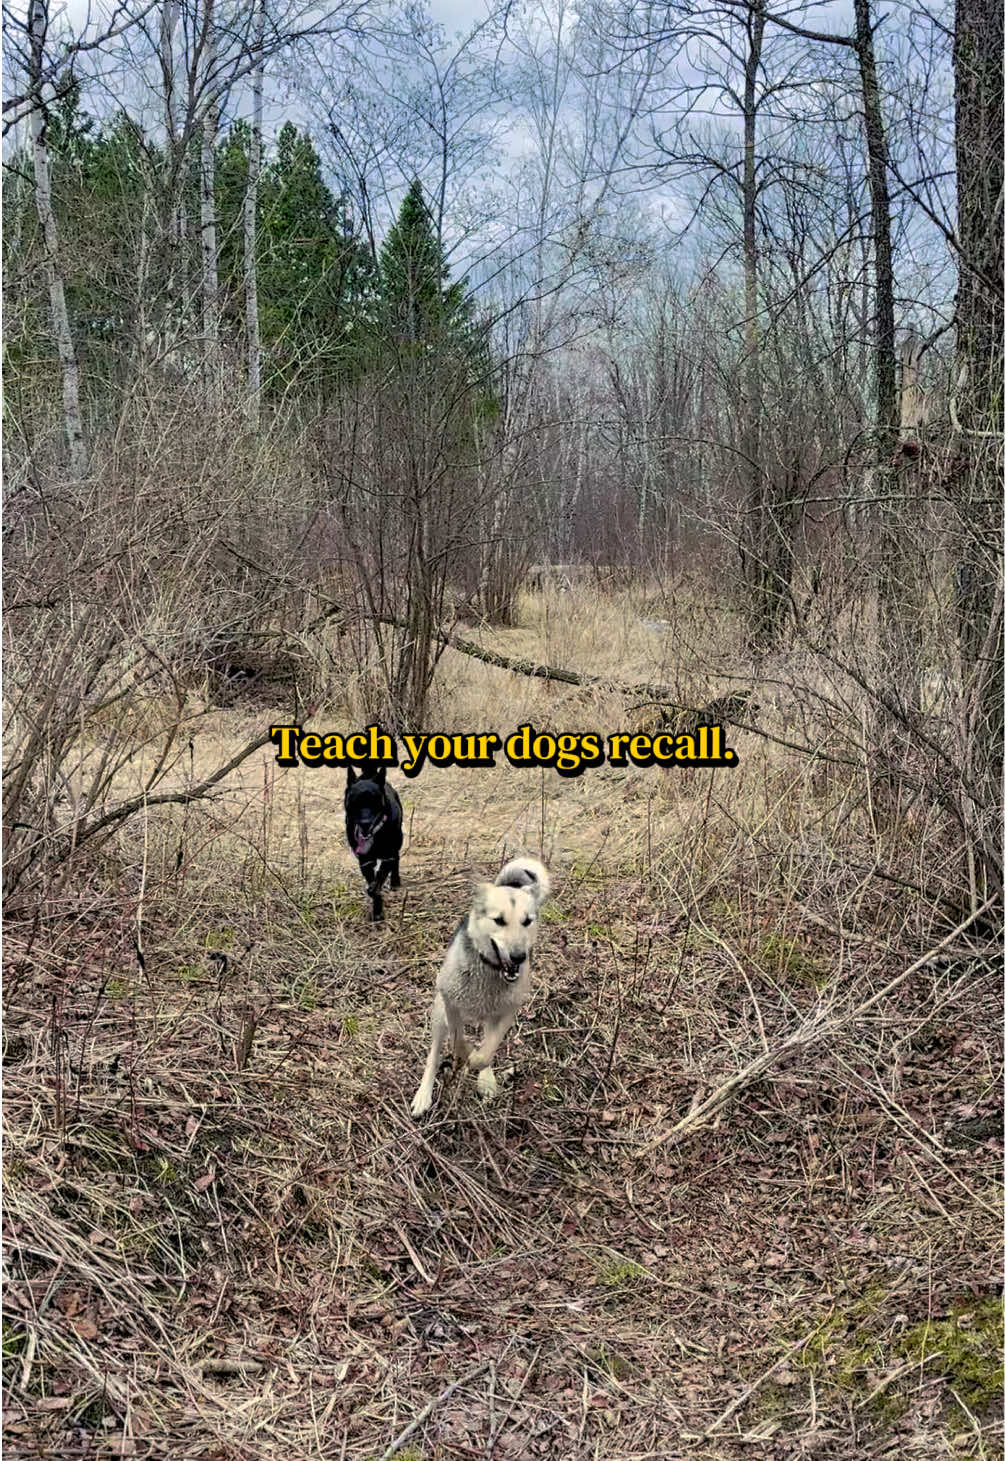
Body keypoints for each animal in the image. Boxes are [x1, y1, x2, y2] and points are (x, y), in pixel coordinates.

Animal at [344, 764, 404, 921]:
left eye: (374, 801)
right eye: (355, 802)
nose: (365, 823)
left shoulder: (388, 856)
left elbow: (378, 881)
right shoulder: (365, 861)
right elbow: (373, 886)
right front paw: (377, 911)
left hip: (398, 842)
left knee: (397, 859)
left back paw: (395, 881)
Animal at [410, 856, 551, 1117]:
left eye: (527, 921)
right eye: (499, 920)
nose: (518, 957)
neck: (489, 971)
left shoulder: (507, 1012)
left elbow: (487, 1051)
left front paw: (477, 1062)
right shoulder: (450, 1002)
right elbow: (457, 1038)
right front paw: (465, 1051)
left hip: (491, 1015)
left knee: (487, 1041)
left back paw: (485, 1078)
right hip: (438, 1014)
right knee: (435, 1053)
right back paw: (424, 1095)